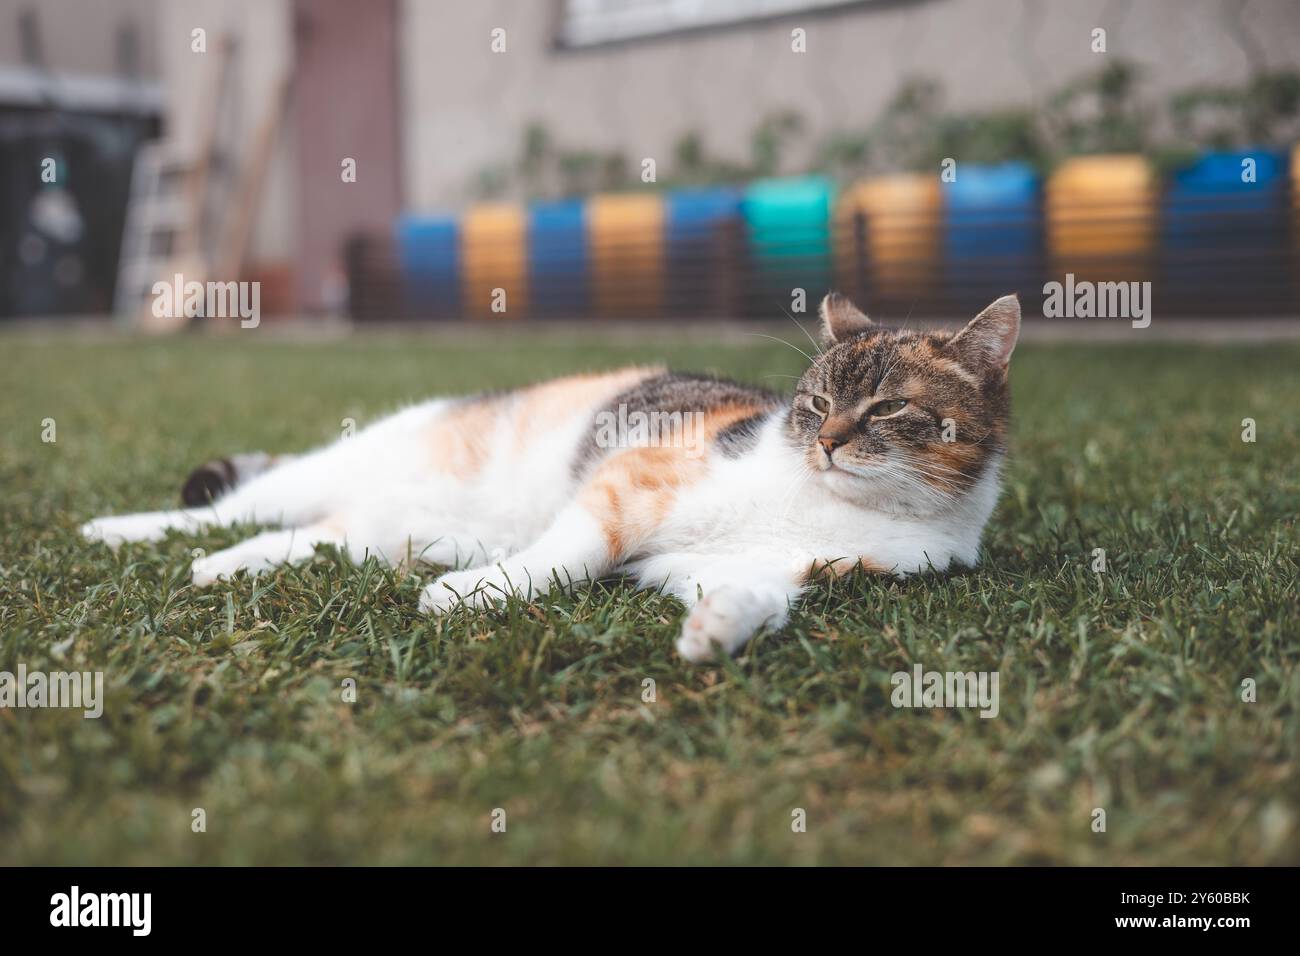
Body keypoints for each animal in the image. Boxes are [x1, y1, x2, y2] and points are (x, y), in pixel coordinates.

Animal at [81, 291, 1019, 660]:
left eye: (886, 409)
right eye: (815, 399)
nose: (825, 439)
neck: (835, 508)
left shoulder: (738, 567)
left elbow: (757, 595)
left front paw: (717, 632)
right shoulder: (630, 480)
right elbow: (572, 554)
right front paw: (468, 598)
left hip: (387, 531)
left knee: (306, 539)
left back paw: (223, 569)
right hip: (348, 463)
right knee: (229, 509)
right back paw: (120, 531)